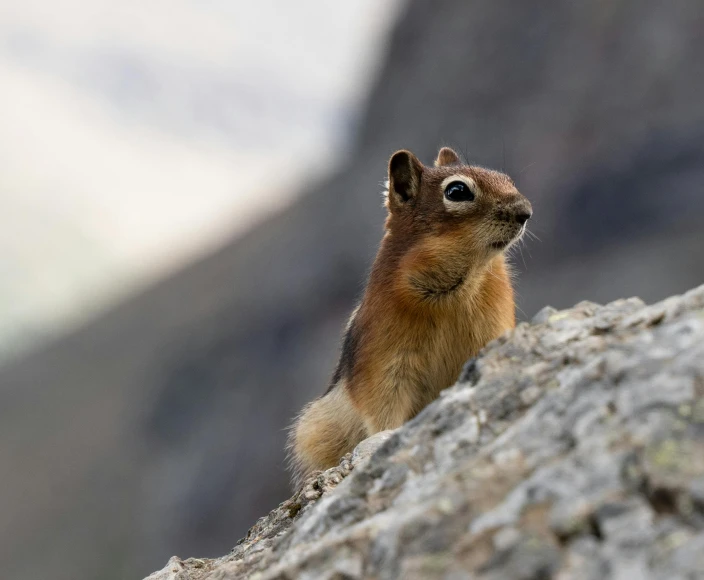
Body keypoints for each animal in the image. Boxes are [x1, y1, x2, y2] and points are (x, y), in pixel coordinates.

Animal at [288, 145, 532, 484]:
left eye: (507, 179)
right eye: (457, 191)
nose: (526, 211)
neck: (455, 289)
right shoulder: (385, 361)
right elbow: (383, 407)